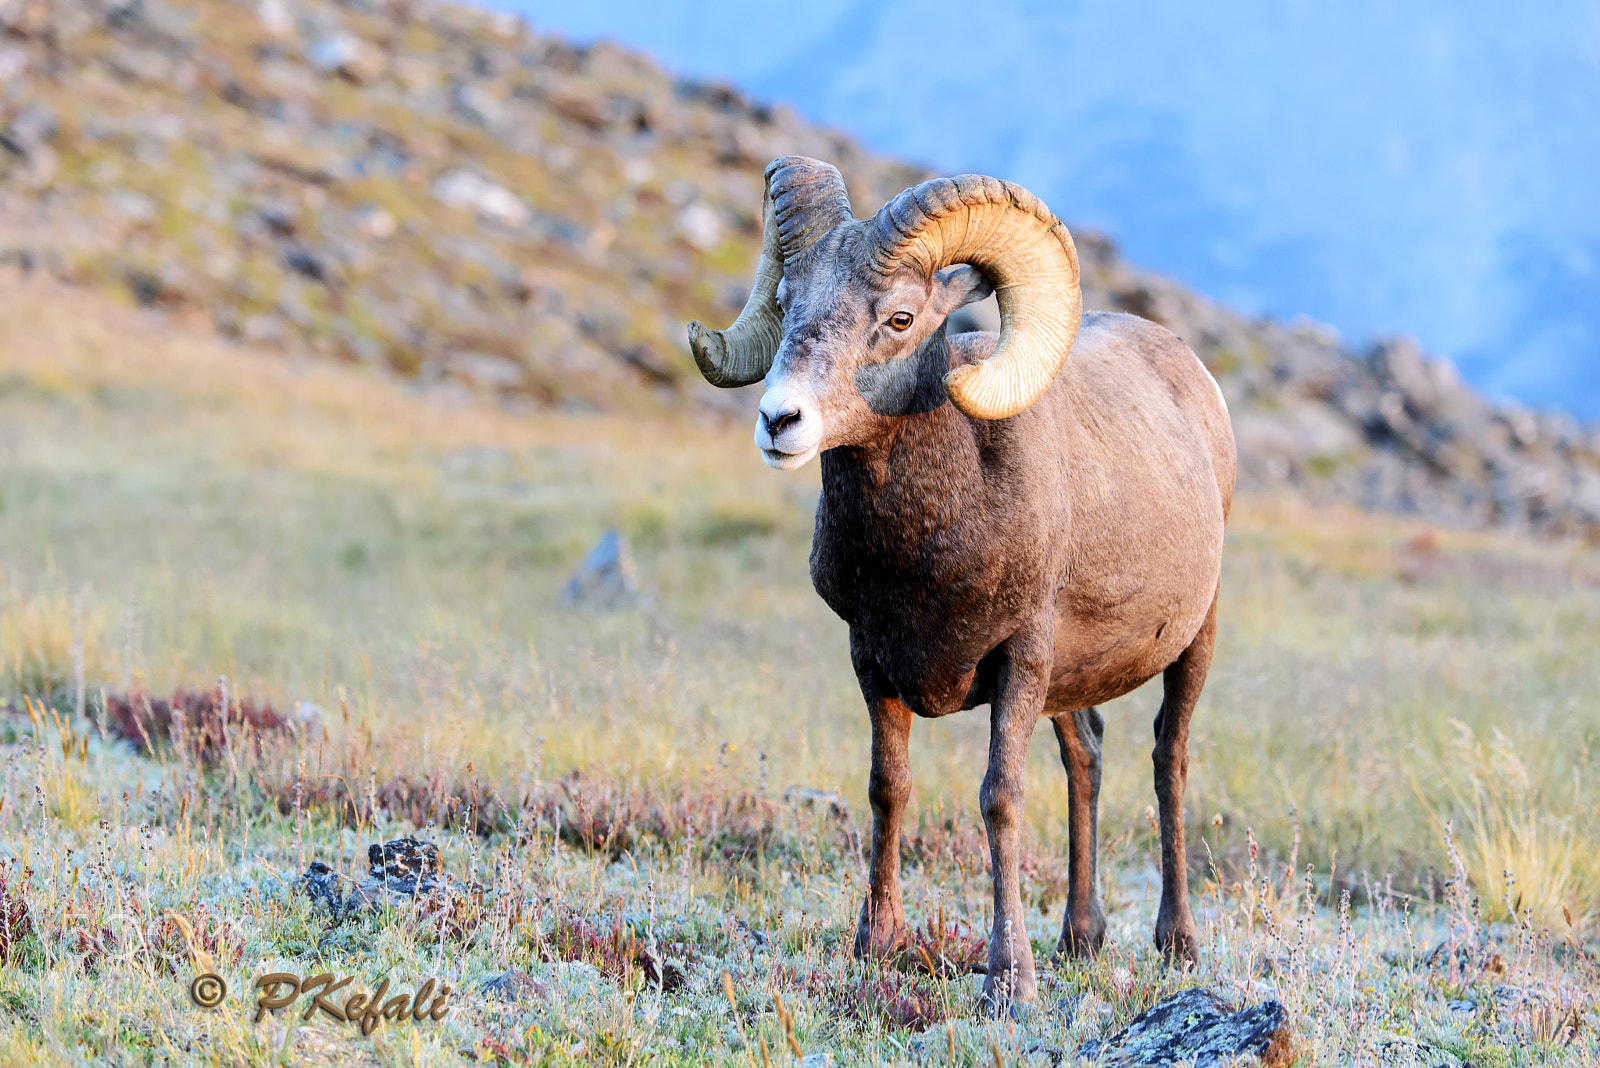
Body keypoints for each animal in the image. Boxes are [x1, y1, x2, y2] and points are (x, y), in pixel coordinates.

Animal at [687, 157, 1236, 1009]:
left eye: (900, 318)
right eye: (785, 304)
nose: (781, 421)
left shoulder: (1018, 658)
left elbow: (999, 799)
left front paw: (1009, 981)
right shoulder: (872, 659)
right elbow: (889, 789)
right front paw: (875, 946)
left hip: (1191, 640)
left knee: (1166, 762)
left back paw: (1176, 946)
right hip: (1066, 688)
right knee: (1087, 758)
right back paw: (1080, 940)